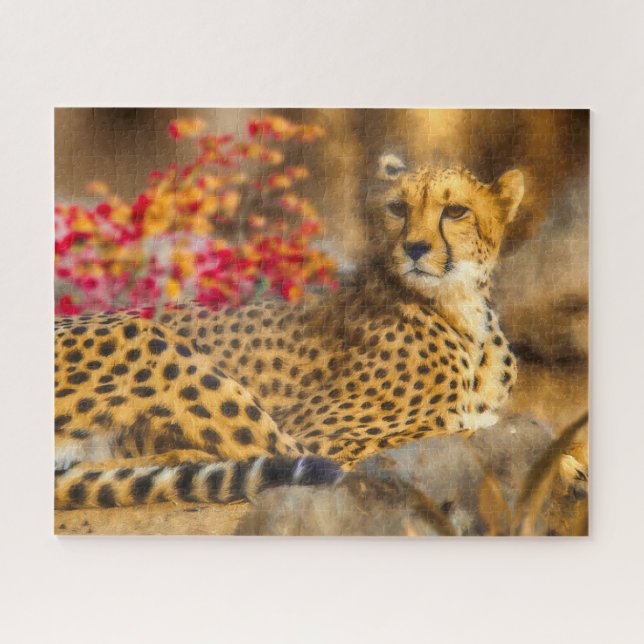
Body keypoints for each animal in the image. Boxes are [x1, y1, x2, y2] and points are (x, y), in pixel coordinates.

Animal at [54, 155, 527, 510]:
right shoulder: (327, 436)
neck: (461, 309)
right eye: (398, 208)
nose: (414, 248)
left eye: (455, 210)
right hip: (151, 340)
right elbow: (450, 430)